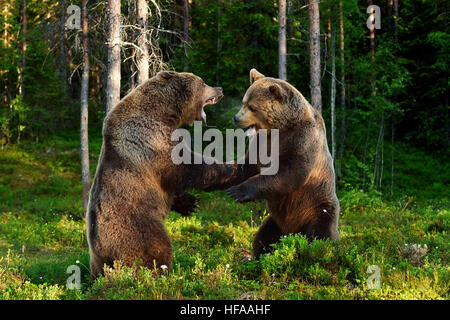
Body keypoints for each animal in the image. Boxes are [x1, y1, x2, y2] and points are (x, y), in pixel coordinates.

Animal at [86, 70, 237, 278]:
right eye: (203, 82)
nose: (220, 88)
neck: (164, 114)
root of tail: (103, 251)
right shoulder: (150, 140)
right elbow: (186, 167)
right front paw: (231, 167)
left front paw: (189, 204)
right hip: (138, 227)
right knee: (157, 248)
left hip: (97, 262)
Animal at [223, 68, 340, 258]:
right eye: (243, 102)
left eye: (252, 107)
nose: (236, 118)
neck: (280, 128)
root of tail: (293, 232)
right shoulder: (262, 142)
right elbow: (247, 166)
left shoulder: (302, 140)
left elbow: (290, 173)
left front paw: (237, 191)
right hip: (276, 221)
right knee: (264, 236)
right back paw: (258, 256)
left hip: (318, 208)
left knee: (321, 236)